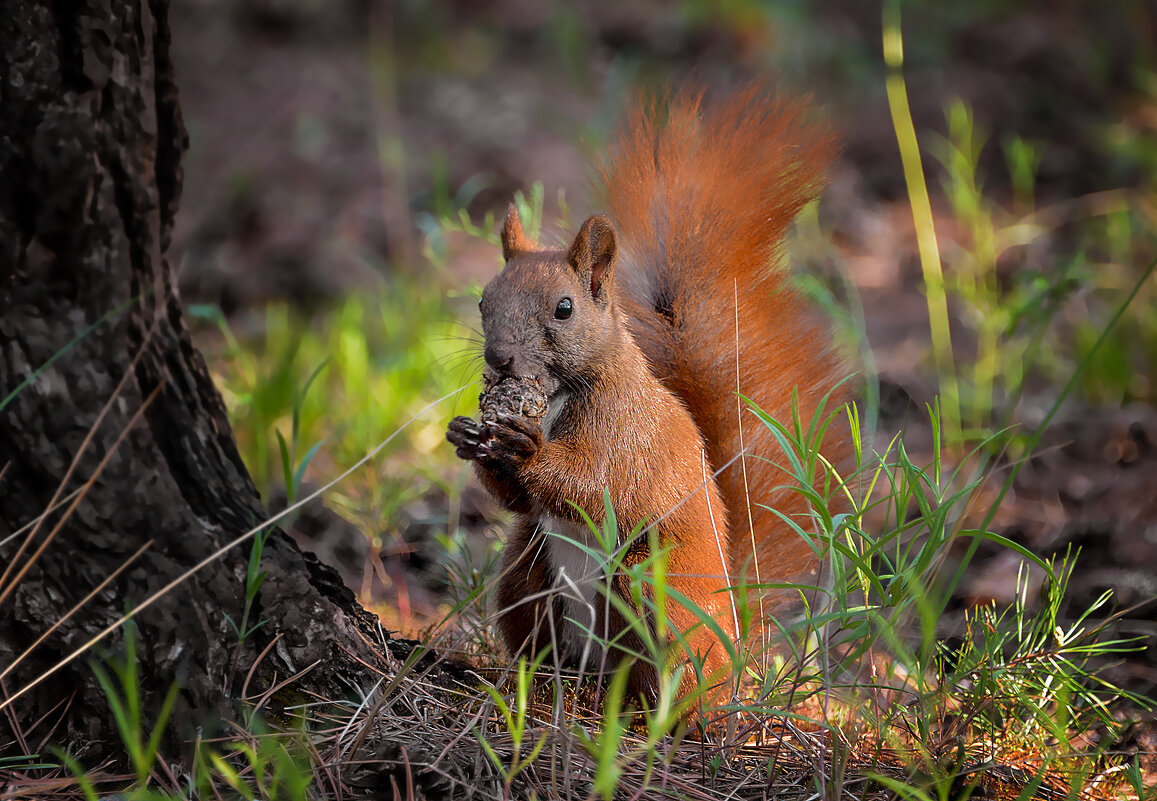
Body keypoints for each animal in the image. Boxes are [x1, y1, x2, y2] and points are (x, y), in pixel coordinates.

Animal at [444, 84, 851, 703]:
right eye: (484, 300)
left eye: (564, 308)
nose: (498, 360)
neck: (556, 396)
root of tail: (735, 639)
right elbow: (518, 502)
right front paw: (467, 435)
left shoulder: (624, 429)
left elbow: (595, 485)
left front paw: (529, 449)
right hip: (525, 574)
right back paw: (537, 685)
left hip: (653, 587)